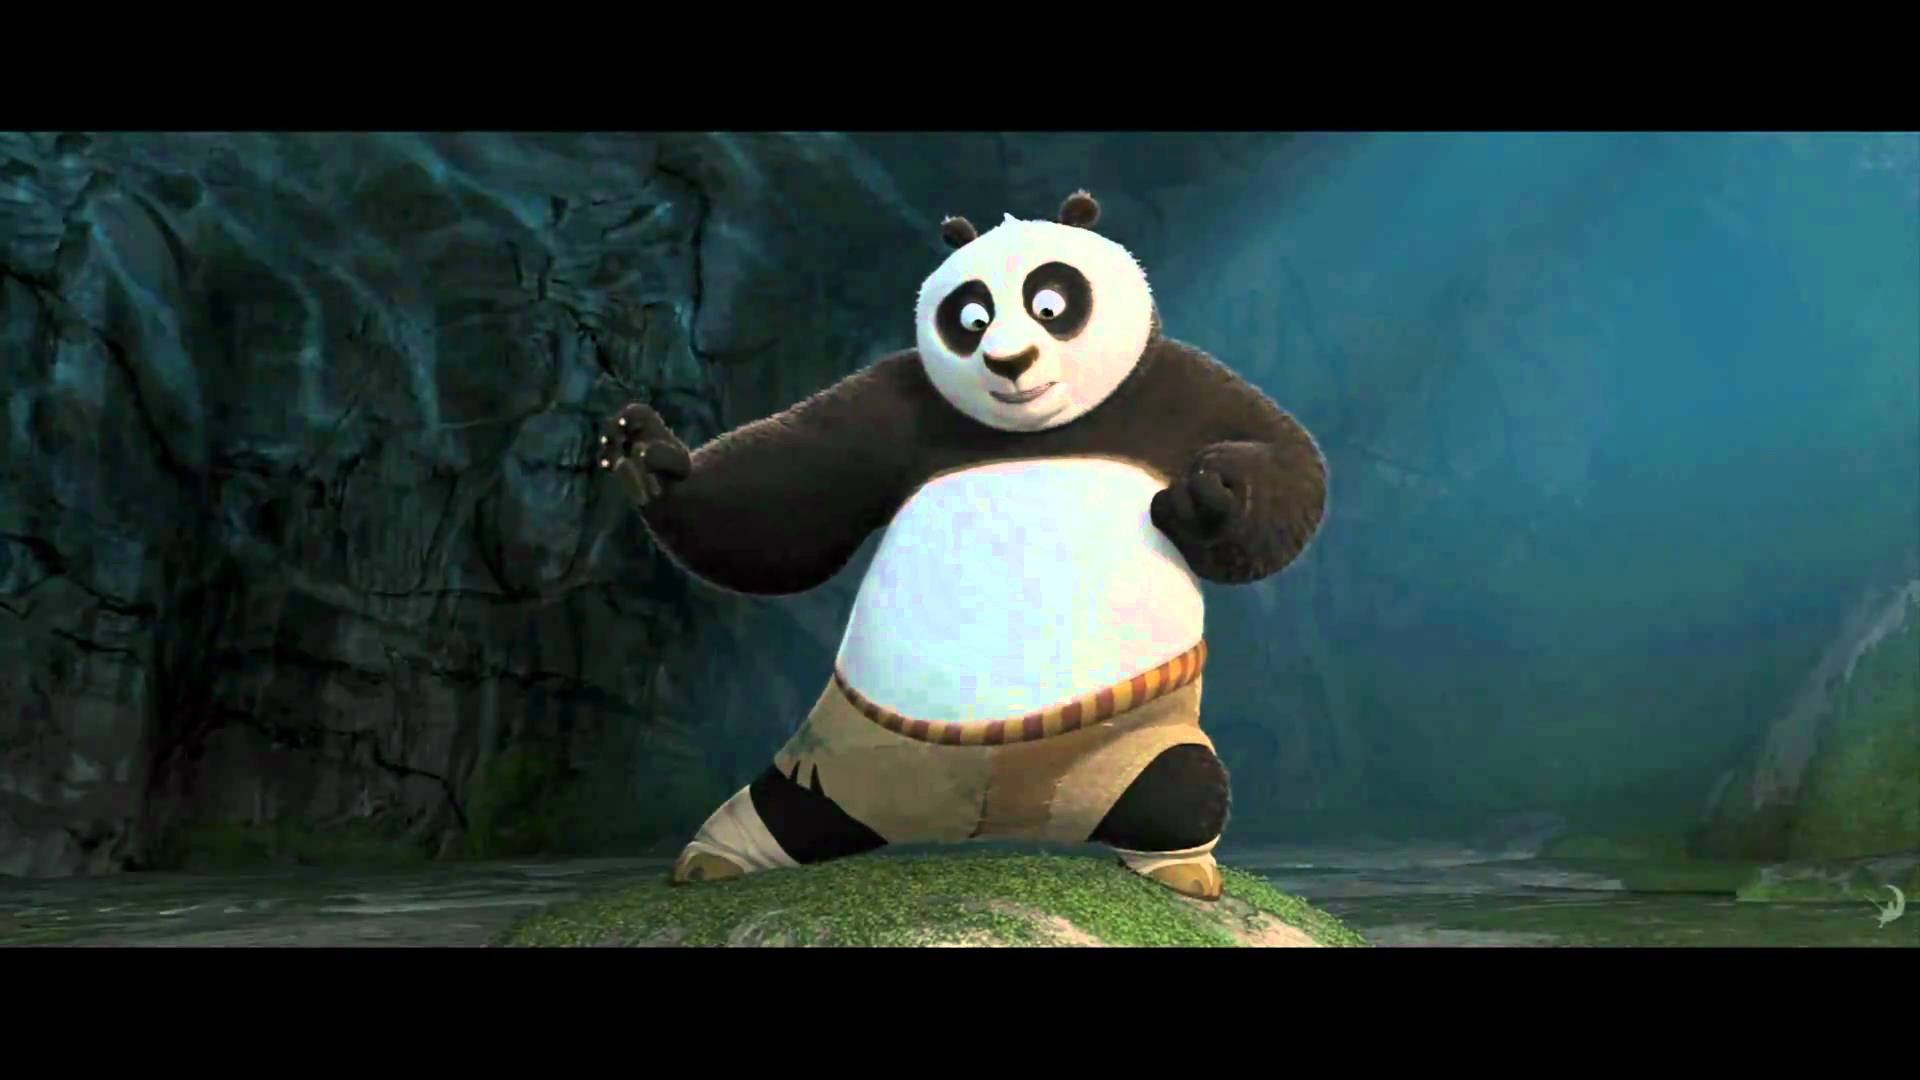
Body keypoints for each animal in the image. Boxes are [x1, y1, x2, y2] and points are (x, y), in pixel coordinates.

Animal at [599, 190, 1326, 901]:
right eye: (971, 317)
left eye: (1050, 305)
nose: (1008, 362)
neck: (1034, 428)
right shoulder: (892, 406)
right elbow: (787, 500)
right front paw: (649, 458)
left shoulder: (1177, 388)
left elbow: (1284, 463)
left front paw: (1212, 492)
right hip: (848, 752)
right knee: (789, 805)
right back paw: (715, 858)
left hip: (1129, 735)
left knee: (1180, 787)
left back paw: (1178, 867)